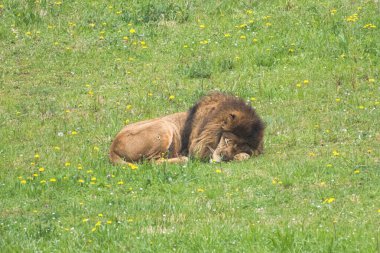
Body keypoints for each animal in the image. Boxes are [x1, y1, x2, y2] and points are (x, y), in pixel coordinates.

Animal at [110, 92, 264, 165]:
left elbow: (246, 156)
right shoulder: (196, 149)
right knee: (151, 162)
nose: (225, 157)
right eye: (227, 140)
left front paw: (240, 156)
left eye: (240, 147)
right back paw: (182, 159)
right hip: (164, 126)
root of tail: (112, 148)